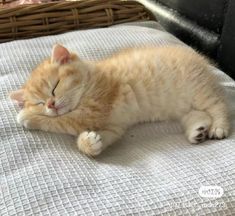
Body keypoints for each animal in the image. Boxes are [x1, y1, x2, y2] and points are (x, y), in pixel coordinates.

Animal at [9, 44, 229, 156]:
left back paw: (219, 126)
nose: (50, 105)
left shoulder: (93, 111)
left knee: (220, 105)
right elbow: (103, 137)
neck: (91, 78)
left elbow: (62, 120)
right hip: (183, 105)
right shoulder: (114, 126)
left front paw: (28, 117)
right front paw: (90, 143)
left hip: (198, 90)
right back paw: (197, 131)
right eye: (39, 102)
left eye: (54, 87)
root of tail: (201, 60)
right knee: (196, 114)